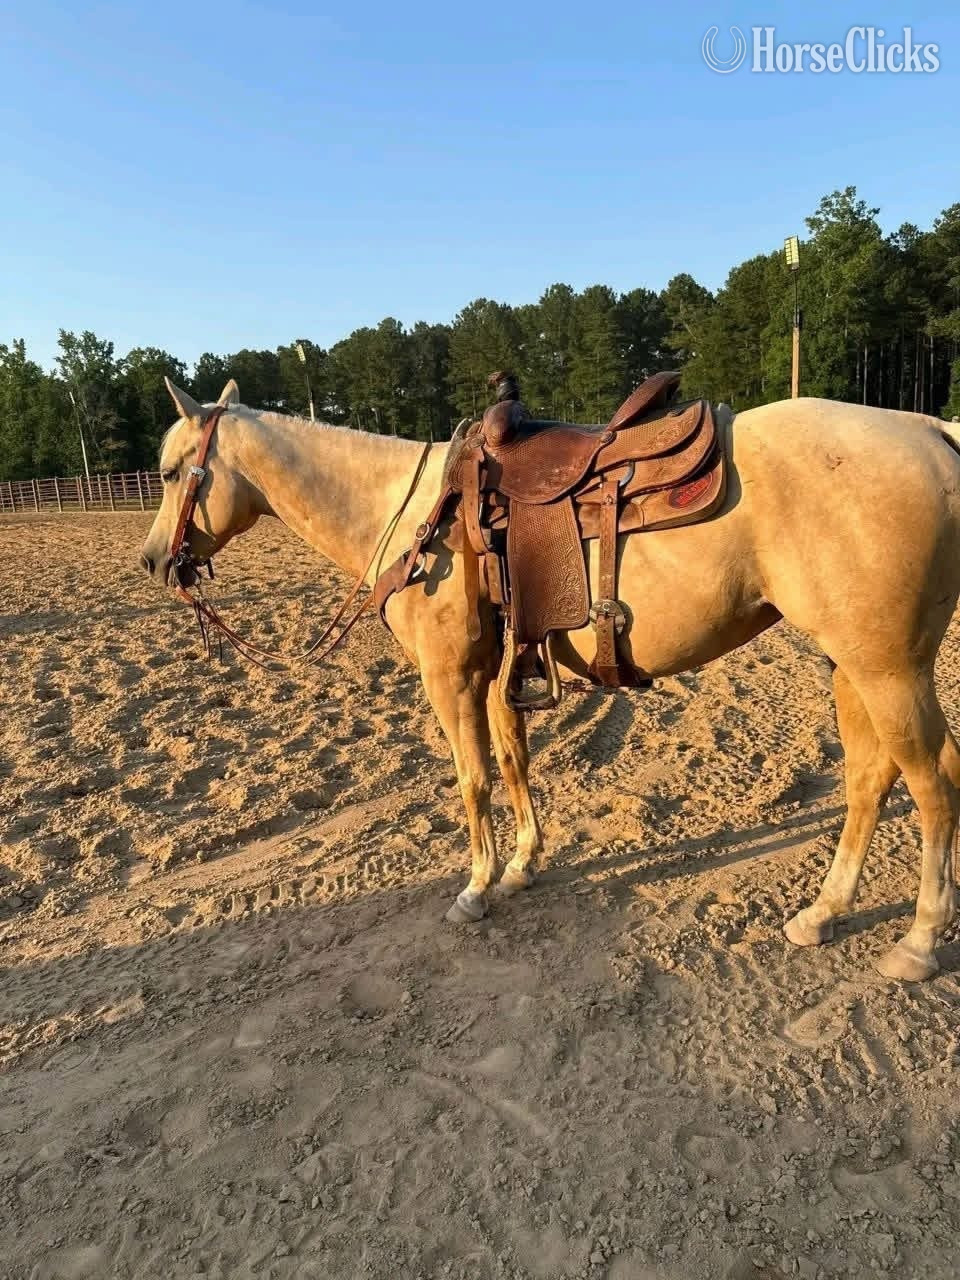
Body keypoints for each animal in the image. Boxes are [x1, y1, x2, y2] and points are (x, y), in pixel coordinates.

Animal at [141, 378, 960, 982]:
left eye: (173, 471)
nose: (153, 561)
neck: (415, 515)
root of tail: (931, 429)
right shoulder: (497, 670)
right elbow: (513, 762)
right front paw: (522, 865)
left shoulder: (450, 677)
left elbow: (472, 777)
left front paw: (476, 888)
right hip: (851, 666)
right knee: (870, 777)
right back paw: (824, 912)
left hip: (888, 668)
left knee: (932, 781)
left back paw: (919, 941)